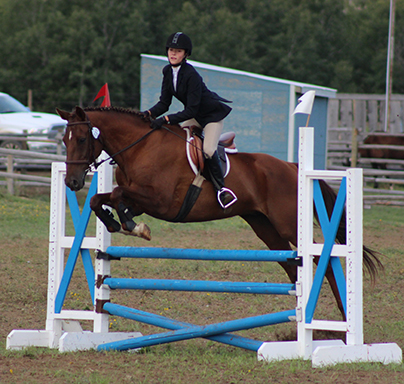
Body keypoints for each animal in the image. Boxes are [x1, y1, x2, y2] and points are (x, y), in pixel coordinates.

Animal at [56, 106, 382, 320]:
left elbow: (117, 196)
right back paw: (298, 315)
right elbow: (100, 199)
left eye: (82, 139)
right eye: (64, 140)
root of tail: (292, 167)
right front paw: (119, 223)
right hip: (264, 227)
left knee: (319, 259)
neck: (140, 147)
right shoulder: (140, 199)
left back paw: (340, 315)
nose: (71, 183)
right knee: (292, 266)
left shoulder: (160, 201)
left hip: (289, 223)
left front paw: (133, 226)